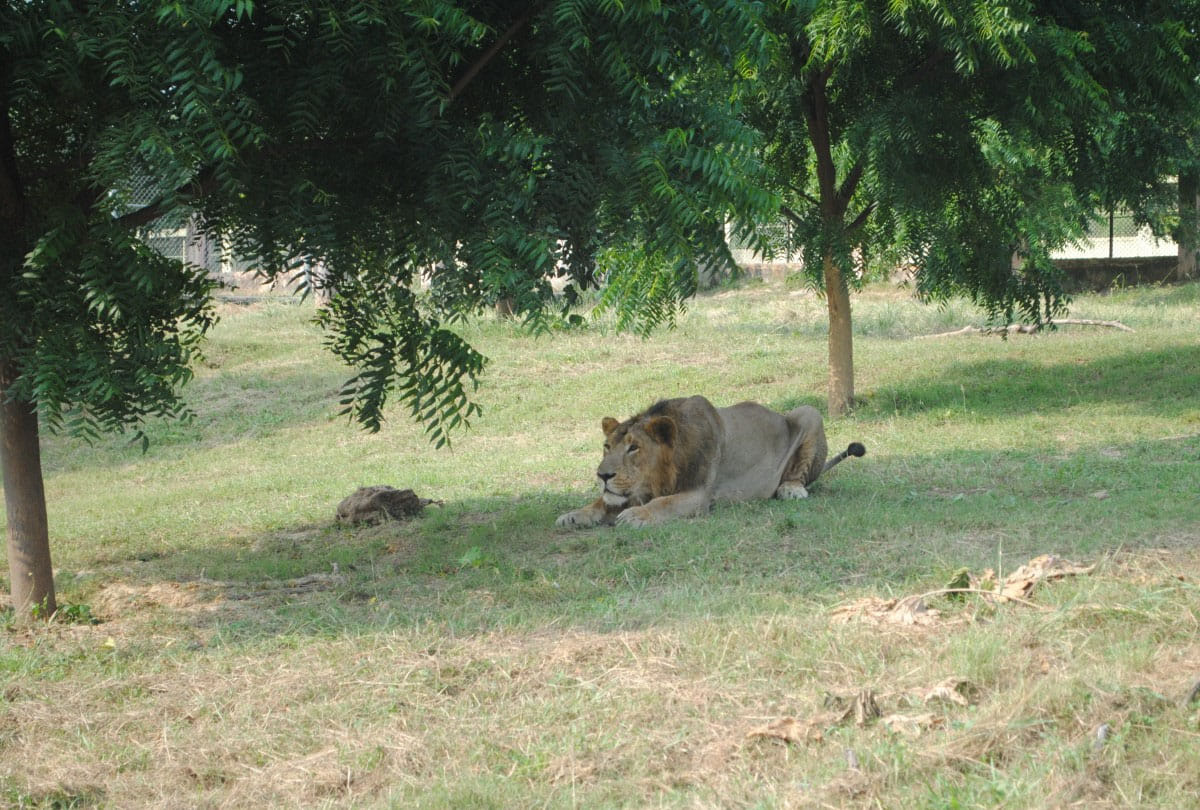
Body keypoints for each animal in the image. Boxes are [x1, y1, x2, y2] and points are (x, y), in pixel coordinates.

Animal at [556, 395, 865, 528]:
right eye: (607, 447)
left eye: (634, 448)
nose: (603, 475)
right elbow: (601, 502)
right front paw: (574, 514)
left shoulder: (699, 495)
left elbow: (663, 503)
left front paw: (635, 515)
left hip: (809, 412)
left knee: (800, 476)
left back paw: (791, 488)